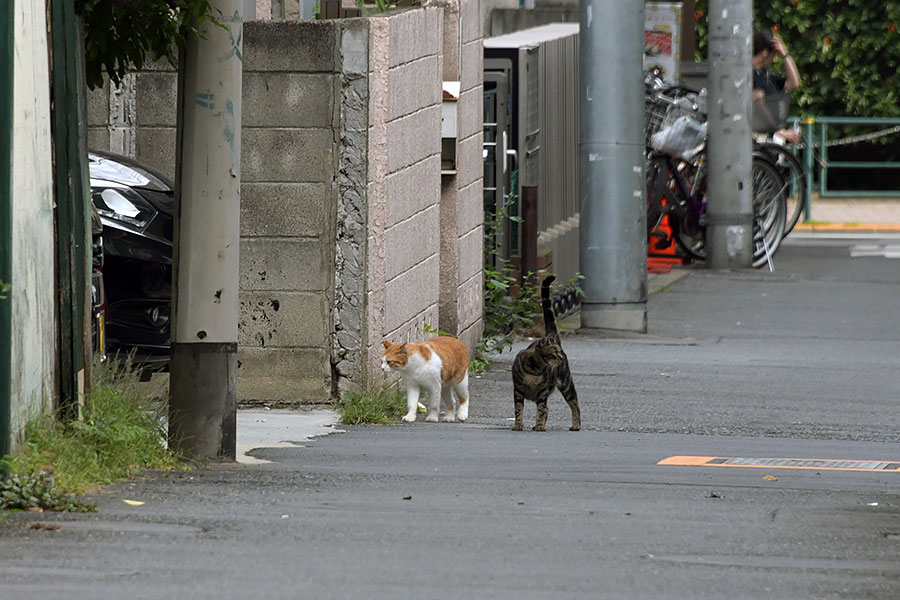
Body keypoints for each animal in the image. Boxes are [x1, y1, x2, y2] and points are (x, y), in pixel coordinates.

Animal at [510, 276, 580, 432]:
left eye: (559, 353)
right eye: (554, 353)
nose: (561, 358)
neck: (535, 369)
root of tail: (553, 336)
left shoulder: (542, 392)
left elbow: (541, 410)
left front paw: (540, 425)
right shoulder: (518, 390)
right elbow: (518, 410)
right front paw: (518, 424)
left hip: (566, 384)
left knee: (575, 404)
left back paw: (576, 425)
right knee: (548, 409)